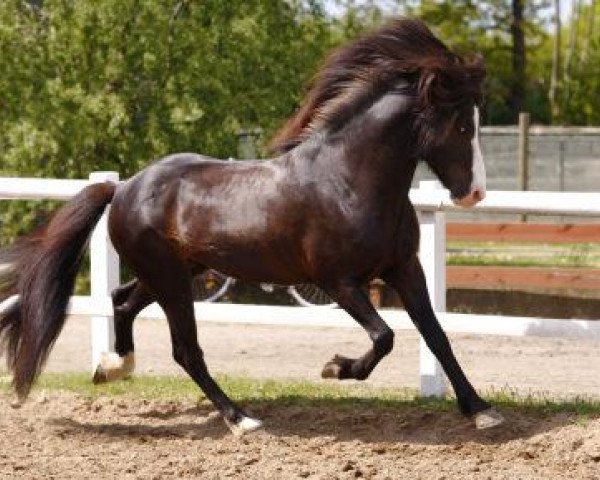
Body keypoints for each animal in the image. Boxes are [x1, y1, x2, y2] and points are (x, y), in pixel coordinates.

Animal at [0, 19, 502, 436]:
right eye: (460, 125)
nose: (475, 193)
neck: (347, 181)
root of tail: (123, 187)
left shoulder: (404, 268)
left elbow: (437, 335)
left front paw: (480, 410)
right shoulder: (338, 282)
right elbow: (385, 337)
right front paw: (335, 368)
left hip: (175, 272)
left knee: (121, 300)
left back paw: (113, 367)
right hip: (170, 278)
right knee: (185, 349)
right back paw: (241, 419)